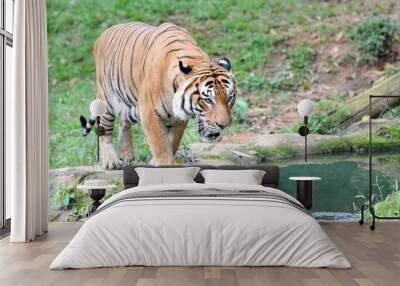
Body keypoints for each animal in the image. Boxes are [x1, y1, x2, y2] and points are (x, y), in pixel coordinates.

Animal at [81, 22, 238, 170]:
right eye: (208, 100)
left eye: (229, 98)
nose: (223, 125)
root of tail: (104, 33)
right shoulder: (149, 113)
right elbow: (160, 145)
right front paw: (163, 165)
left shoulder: (178, 117)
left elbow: (172, 141)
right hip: (106, 100)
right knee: (104, 130)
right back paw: (111, 161)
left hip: (130, 104)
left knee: (124, 122)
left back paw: (126, 155)